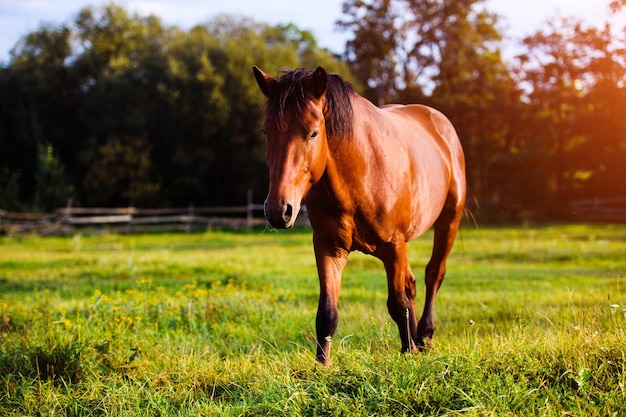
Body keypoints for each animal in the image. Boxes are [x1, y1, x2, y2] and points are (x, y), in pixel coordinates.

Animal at [254, 66, 464, 368]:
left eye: (313, 133)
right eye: (267, 131)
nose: (277, 210)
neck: (360, 175)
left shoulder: (393, 246)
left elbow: (397, 304)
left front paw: (408, 353)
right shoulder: (329, 247)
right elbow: (327, 313)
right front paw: (322, 367)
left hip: (449, 220)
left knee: (433, 274)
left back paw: (423, 337)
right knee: (412, 283)